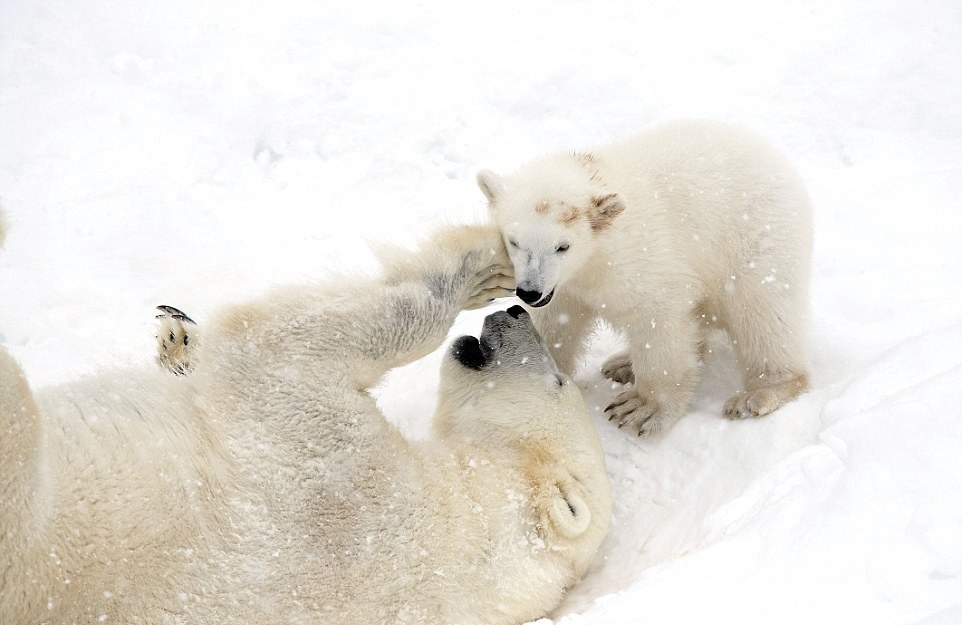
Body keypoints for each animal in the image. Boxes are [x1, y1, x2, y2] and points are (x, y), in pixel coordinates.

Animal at [0, 218, 612, 624]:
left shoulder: (340, 488)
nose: (515, 312)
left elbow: (287, 346)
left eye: (558, 381)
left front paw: (478, 263)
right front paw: (177, 343)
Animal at [478, 119, 808, 436]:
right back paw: (623, 363)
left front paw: (640, 409)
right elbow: (556, 324)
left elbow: (658, 320)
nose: (529, 291)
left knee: (760, 314)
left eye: (563, 246)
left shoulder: (639, 259)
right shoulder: (563, 288)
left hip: (755, 239)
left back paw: (759, 393)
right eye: (513, 241)